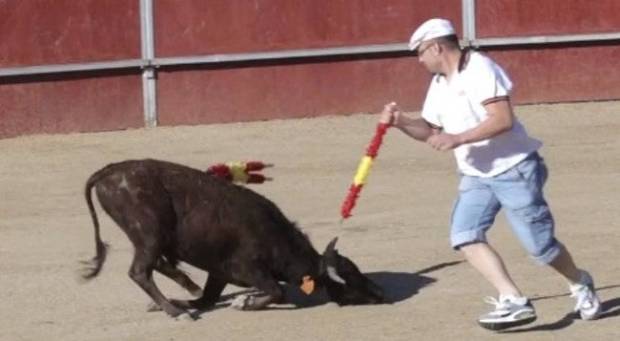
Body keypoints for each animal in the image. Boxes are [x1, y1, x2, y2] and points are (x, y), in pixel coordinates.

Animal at [82, 159, 382, 316]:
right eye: (351, 281)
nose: (380, 294)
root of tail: (111, 170)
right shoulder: (248, 269)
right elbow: (278, 291)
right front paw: (244, 303)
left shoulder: (220, 274)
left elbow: (207, 299)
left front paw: (188, 300)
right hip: (148, 233)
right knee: (140, 271)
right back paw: (176, 312)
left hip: (150, 238)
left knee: (156, 265)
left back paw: (180, 294)